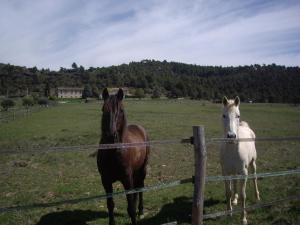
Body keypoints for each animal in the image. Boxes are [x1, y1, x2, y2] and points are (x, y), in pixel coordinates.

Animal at [97, 88, 150, 225]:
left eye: (120, 110)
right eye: (103, 109)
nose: (111, 136)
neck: (113, 153)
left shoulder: (127, 179)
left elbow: (131, 206)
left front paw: (134, 215)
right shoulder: (105, 181)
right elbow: (110, 204)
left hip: (142, 170)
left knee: (140, 187)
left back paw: (140, 211)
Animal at [220, 96, 260, 225]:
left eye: (238, 115)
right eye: (224, 115)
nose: (231, 136)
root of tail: (245, 126)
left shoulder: (244, 172)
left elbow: (243, 195)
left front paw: (243, 218)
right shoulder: (225, 172)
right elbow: (228, 192)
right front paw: (229, 213)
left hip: (253, 163)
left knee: (254, 177)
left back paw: (257, 197)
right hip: (234, 171)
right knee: (235, 181)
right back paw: (235, 199)